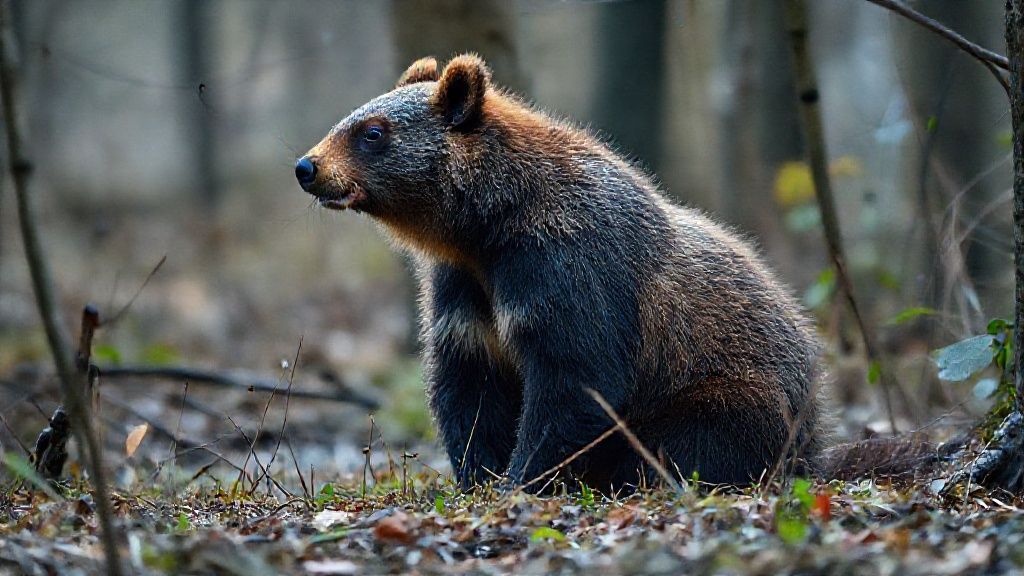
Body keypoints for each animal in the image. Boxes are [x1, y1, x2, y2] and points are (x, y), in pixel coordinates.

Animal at [296, 54, 829, 491]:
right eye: (351, 118)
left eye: (373, 131)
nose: (307, 166)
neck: (487, 229)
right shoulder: (464, 295)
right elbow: (470, 390)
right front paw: (479, 475)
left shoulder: (567, 272)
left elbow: (574, 384)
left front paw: (522, 479)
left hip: (730, 390)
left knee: (698, 441)